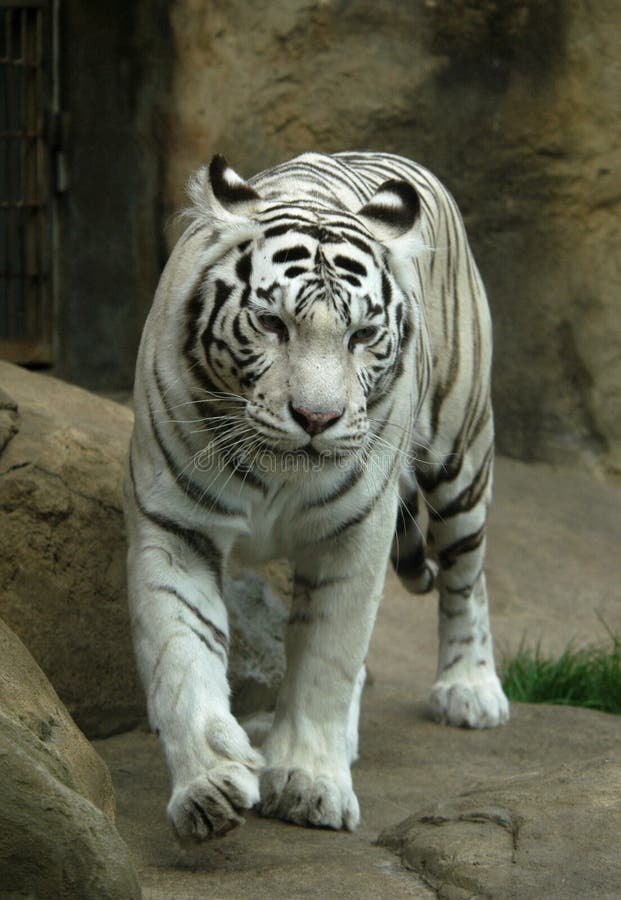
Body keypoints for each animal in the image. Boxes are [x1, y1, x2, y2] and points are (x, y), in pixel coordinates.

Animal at [123, 149, 506, 844]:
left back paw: (470, 689)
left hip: (460, 455)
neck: (272, 477)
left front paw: (308, 782)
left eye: (362, 335)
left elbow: (327, 658)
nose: (316, 417)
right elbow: (181, 656)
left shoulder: (353, 533)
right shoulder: (173, 526)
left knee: (467, 574)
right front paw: (210, 785)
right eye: (272, 324)